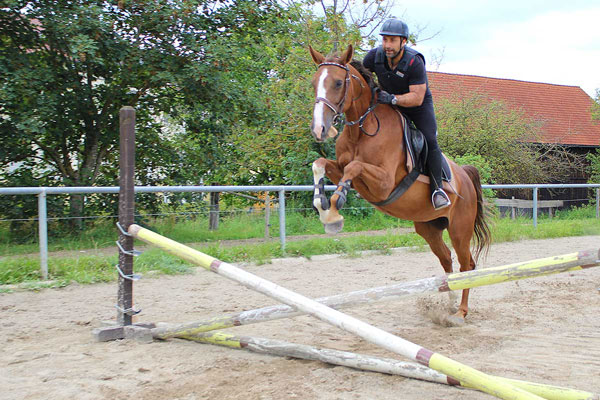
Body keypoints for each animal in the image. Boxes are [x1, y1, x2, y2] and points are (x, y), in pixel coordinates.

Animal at [310, 44, 492, 324]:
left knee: (467, 265)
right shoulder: (340, 169)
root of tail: (465, 176)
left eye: (338, 82)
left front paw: (335, 209)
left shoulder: (383, 182)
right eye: (314, 83)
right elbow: (320, 163)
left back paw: (461, 312)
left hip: (460, 228)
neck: (361, 130)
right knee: (447, 260)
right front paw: (324, 209)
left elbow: (354, 167)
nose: (319, 129)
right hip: (429, 228)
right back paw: (450, 303)